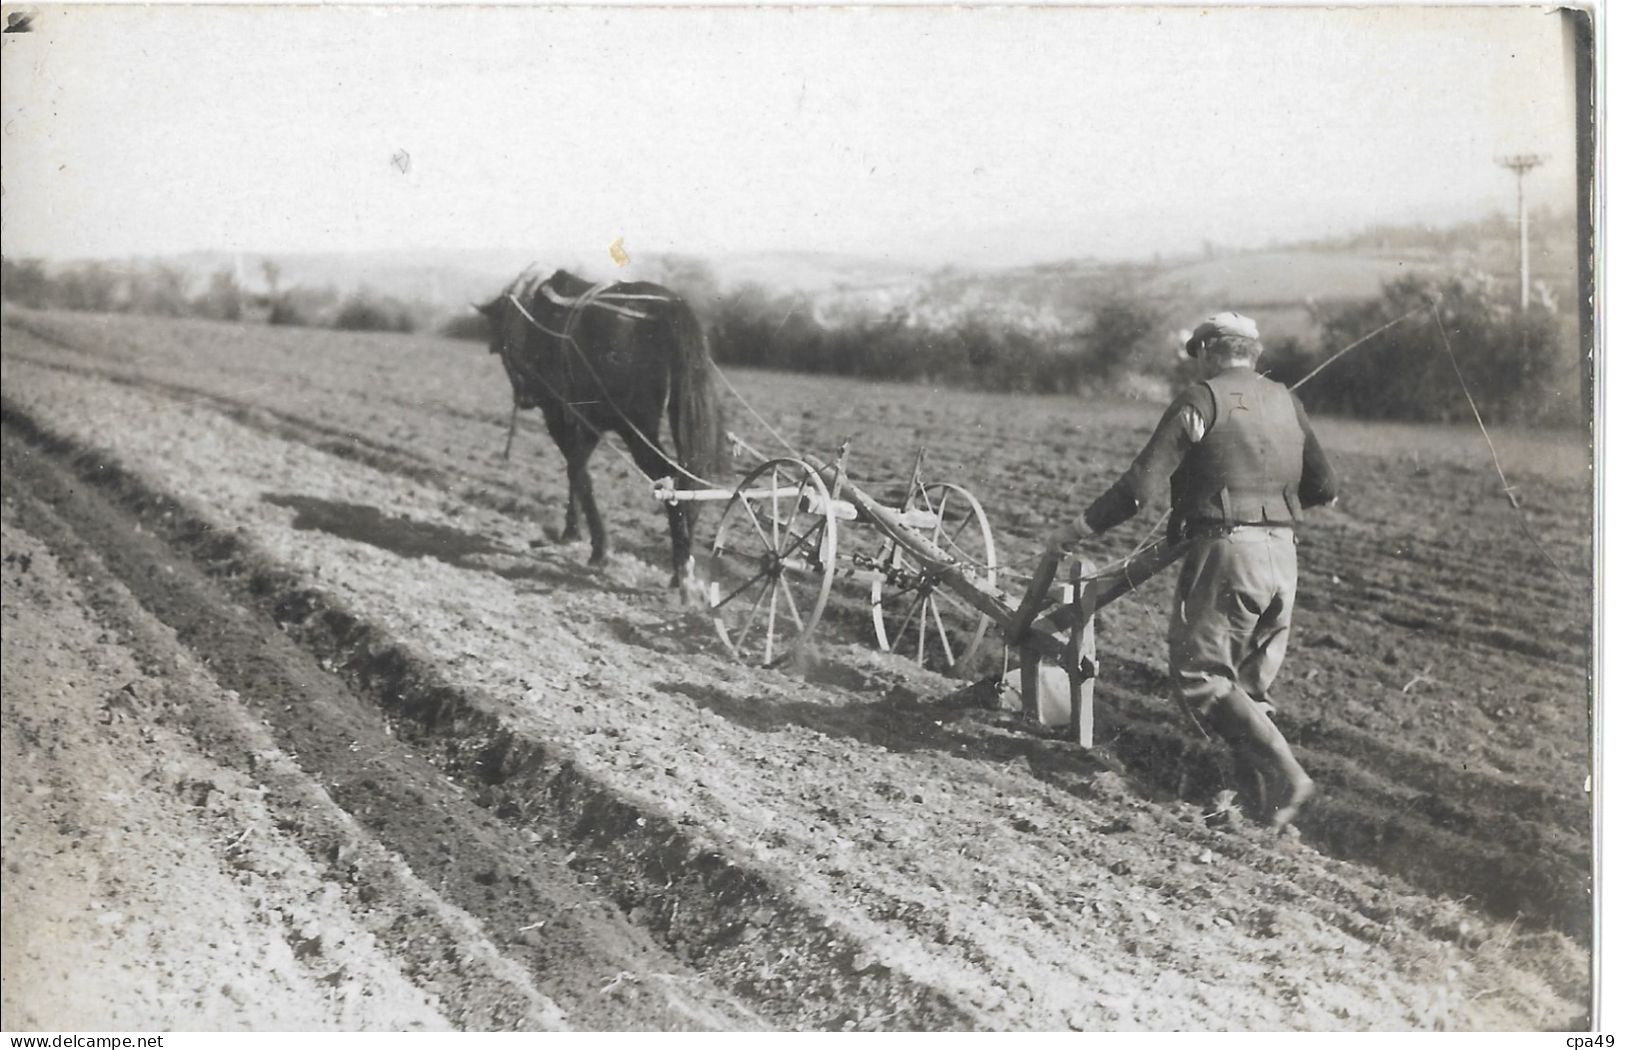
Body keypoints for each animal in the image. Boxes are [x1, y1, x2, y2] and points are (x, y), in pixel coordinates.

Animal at [471, 268, 724, 598]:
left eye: (499, 341)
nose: (523, 398)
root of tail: (670, 305)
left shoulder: (557, 412)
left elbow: (577, 470)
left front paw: (594, 545)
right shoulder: (592, 423)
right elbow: (577, 469)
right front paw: (574, 532)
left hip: (634, 429)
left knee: (668, 477)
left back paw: (681, 568)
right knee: (688, 479)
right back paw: (681, 563)